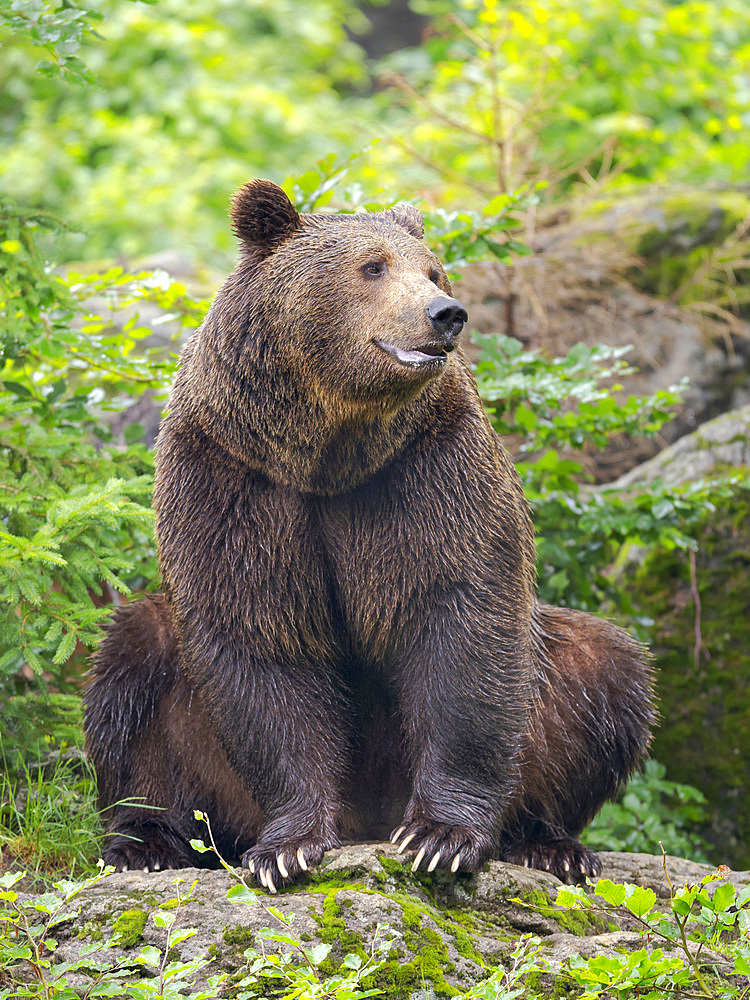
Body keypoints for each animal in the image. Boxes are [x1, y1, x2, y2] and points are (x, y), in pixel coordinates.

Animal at [85, 180, 656, 892]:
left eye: (432, 270)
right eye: (373, 267)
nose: (446, 313)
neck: (326, 449)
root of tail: (370, 817)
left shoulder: (426, 470)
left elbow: (461, 623)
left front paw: (440, 837)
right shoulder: (232, 477)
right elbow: (257, 635)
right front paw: (287, 847)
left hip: (548, 692)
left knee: (606, 670)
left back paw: (547, 843)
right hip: (201, 753)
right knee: (130, 674)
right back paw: (146, 841)